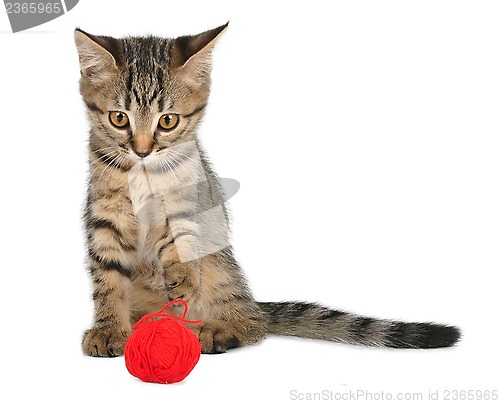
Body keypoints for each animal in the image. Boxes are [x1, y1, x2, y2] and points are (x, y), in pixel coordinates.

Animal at [74, 23, 460, 356]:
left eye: (167, 121)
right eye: (119, 118)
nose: (141, 150)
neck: (142, 173)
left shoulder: (189, 204)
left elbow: (183, 242)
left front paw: (181, 276)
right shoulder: (104, 220)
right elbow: (108, 280)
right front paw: (109, 329)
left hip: (222, 271)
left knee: (251, 322)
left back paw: (218, 330)